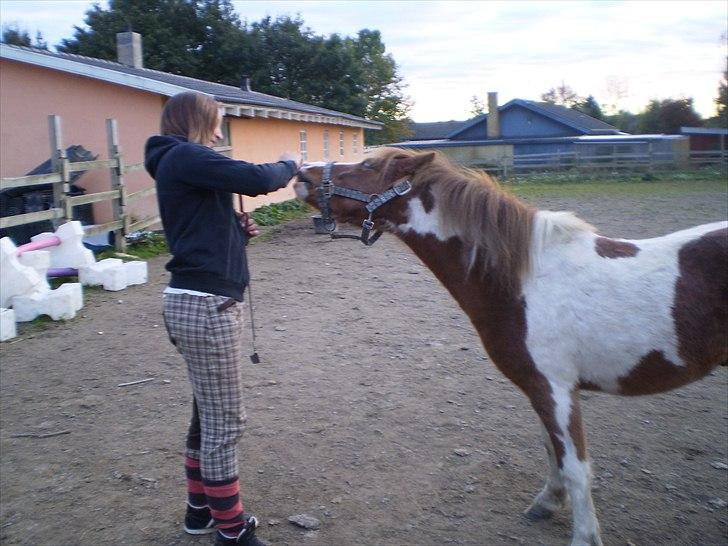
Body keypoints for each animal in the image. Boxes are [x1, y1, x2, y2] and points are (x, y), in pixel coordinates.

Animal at [294, 148, 728, 544]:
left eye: (367, 165)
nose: (302, 173)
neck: (524, 280)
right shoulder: (540, 388)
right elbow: (552, 451)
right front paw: (547, 503)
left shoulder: (556, 389)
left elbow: (576, 467)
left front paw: (584, 535)